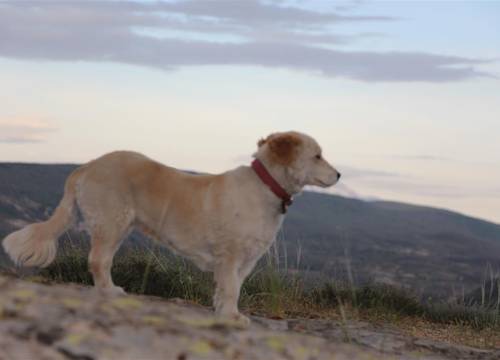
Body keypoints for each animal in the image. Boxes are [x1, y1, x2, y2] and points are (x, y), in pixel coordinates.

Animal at [2, 131, 340, 324]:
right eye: (317, 155)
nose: (338, 174)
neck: (265, 186)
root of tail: (87, 166)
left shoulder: (246, 261)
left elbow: (230, 288)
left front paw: (223, 312)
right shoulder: (230, 255)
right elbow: (231, 289)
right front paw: (231, 317)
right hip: (113, 223)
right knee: (98, 261)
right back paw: (109, 291)